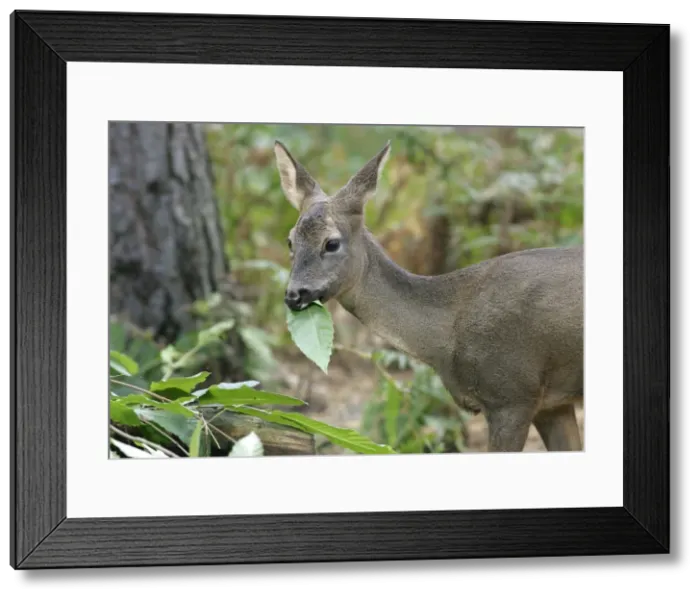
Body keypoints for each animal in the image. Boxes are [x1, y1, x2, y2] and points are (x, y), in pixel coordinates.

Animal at [273, 139, 583, 453]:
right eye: (290, 241)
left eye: (332, 243)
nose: (294, 294)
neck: (447, 335)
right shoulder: (551, 404)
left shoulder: (513, 393)